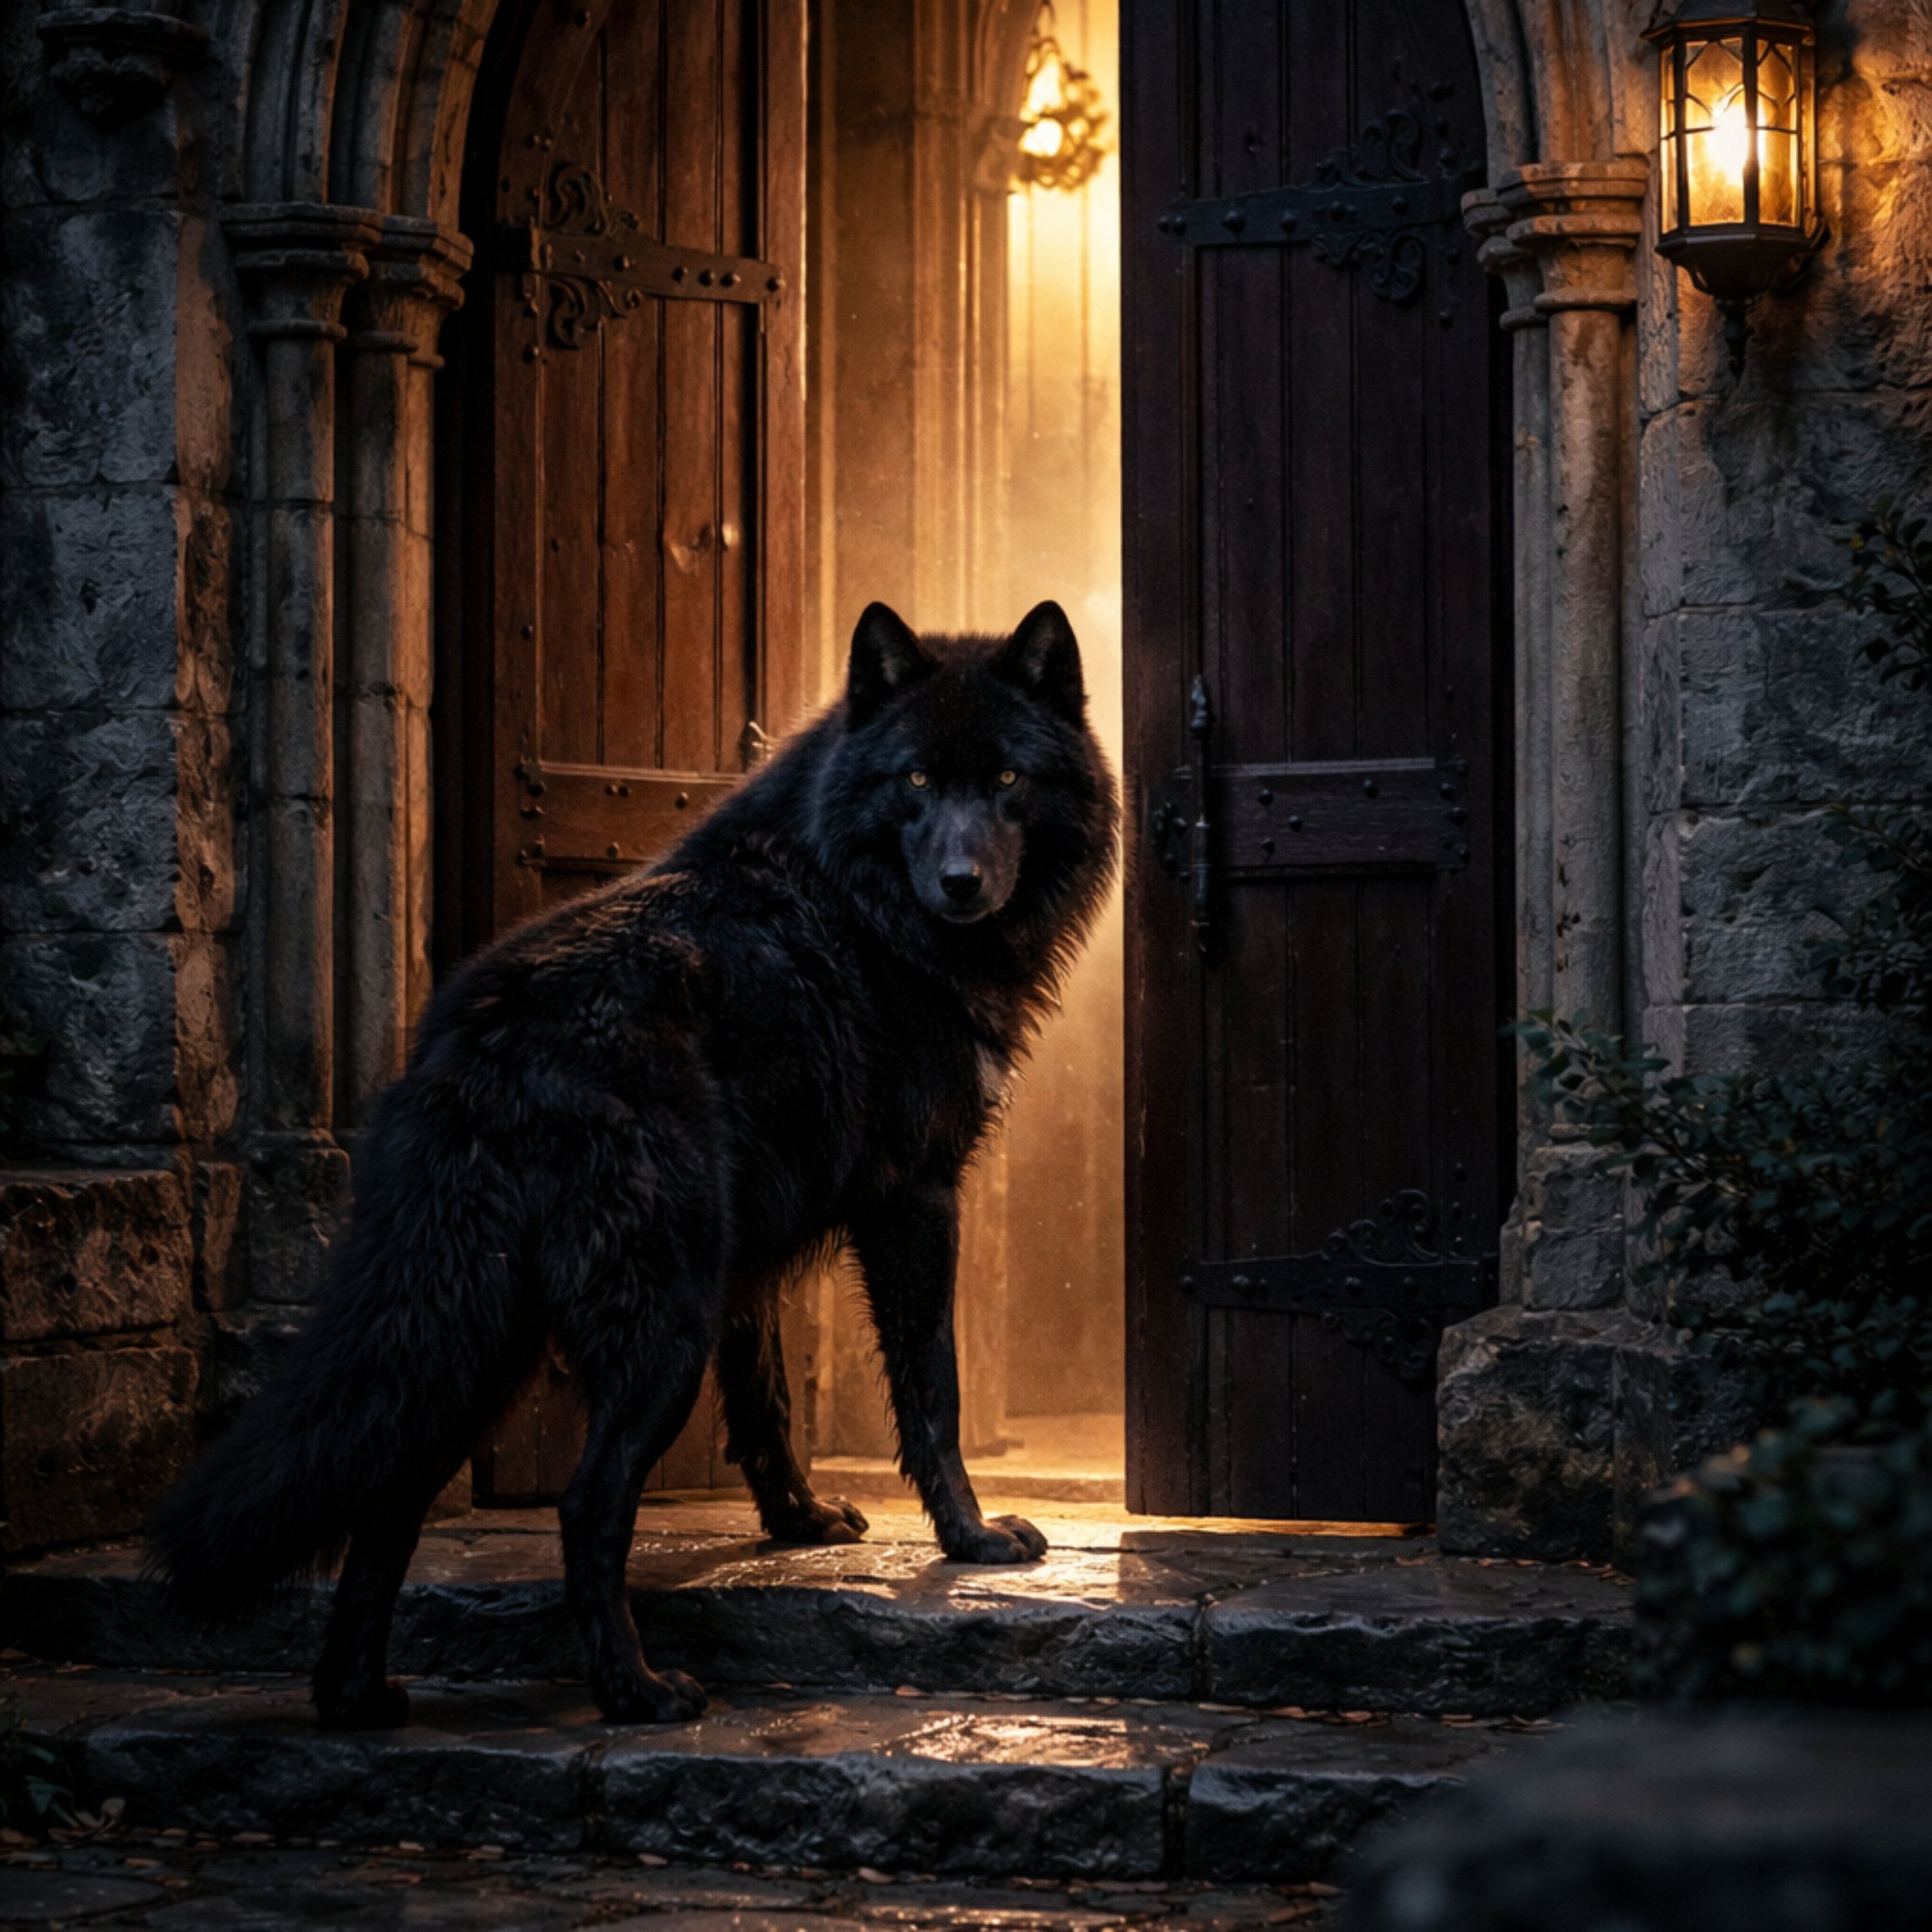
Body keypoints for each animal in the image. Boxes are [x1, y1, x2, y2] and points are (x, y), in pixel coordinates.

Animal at [150, 600, 1118, 1729]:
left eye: (1007, 778)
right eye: (917, 780)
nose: (962, 886)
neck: (853, 895)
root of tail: (487, 1039)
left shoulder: (749, 1259)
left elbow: (766, 1401)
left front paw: (796, 1525)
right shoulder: (915, 1200)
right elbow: (933, 1390)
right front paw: (971, 1541)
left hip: (489, 1328)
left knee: (393, 1491)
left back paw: (358, 1698)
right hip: (658, 1323)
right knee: (585, 1504)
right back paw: (637, 1691)